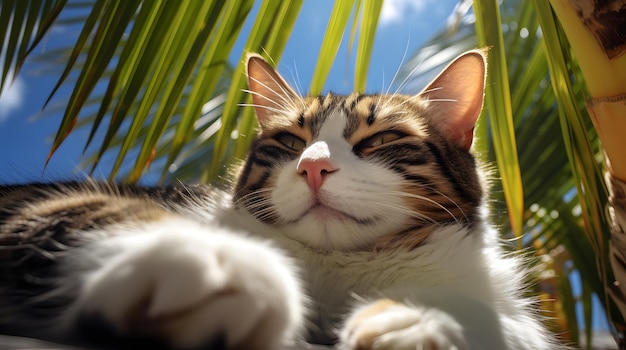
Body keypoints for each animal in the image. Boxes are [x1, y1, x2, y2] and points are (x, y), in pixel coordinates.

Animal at [0, 50, 560, 350]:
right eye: (290, 142)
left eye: (380, 139)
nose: (312, 167)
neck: (338, 270)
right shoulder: (45, 204)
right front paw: (214, 262)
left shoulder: (510, 315)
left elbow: (498, 322)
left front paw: (418, 319)